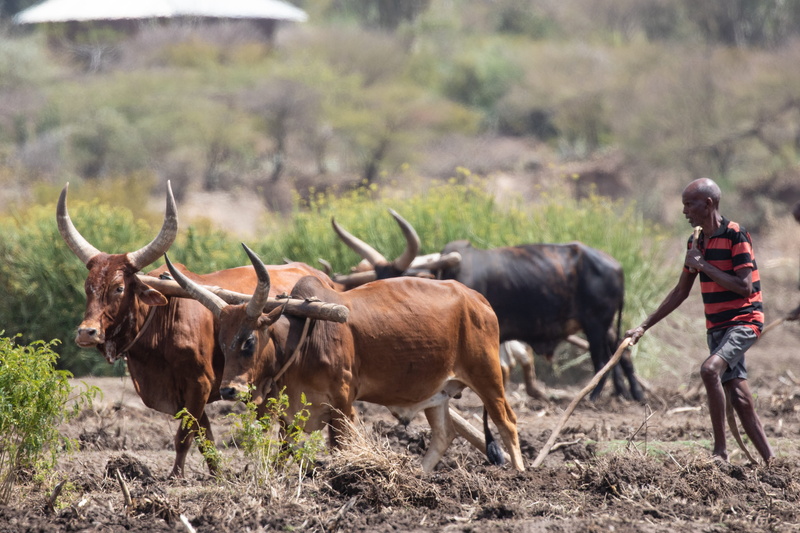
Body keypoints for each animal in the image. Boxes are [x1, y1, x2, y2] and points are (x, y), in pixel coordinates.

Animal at [57, 182, 331, 477]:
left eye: (119, 288)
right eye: (88, 287)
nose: (86, 333)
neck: (163, 320)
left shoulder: (199, 384)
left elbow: (184, 436)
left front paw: (176, 476)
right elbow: (204, 436)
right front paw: (217, 474)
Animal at [164, 244, 525, 472]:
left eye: (249, 340)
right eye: (222, 343)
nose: (229, 390)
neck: (302, 337)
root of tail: (477, 299)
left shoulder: (342, 403)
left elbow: (341, 447)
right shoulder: (292, 416)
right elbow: (282, 457)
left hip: (487, 376)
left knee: (507, 422)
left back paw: (520, 475)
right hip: (438, 392)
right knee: (444, 434)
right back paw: (419, 476)